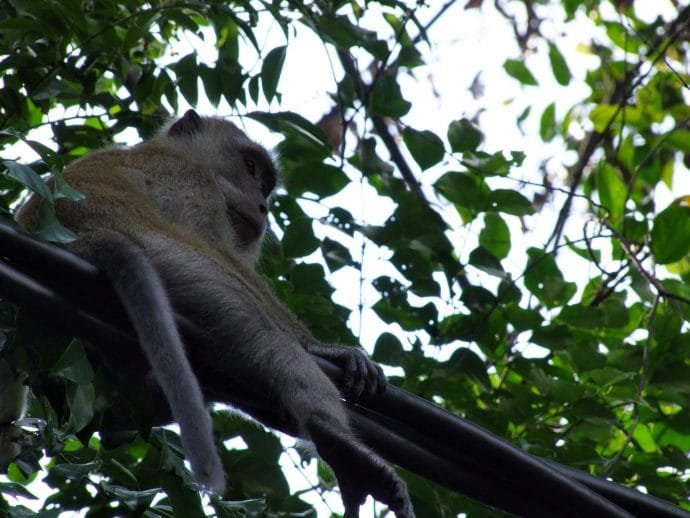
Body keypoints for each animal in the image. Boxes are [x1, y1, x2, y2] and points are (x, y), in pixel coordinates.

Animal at [12, 110, 414, 518]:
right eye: (249, 168)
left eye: (265, 186)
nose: (263, 206)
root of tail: (81, 242)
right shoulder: (190, 179)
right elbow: (214, 247)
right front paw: (327, 349)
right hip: (171, 262)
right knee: (260, 332)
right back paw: (336, 440)